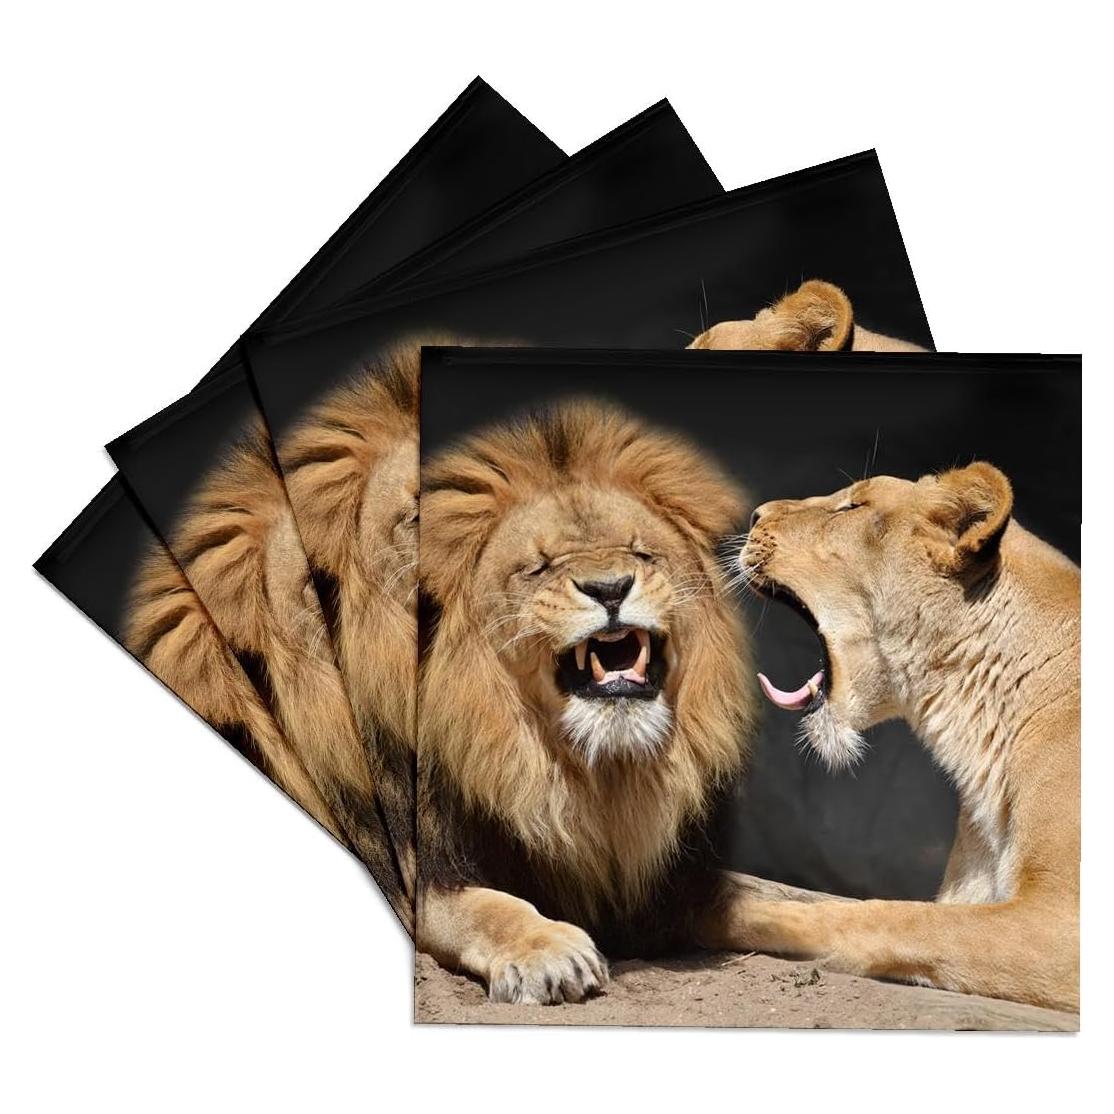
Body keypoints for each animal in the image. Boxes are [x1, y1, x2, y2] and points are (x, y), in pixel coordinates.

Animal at [417, 399, 767, 1003]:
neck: (603, 774)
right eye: (538, 566)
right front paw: (552, 952)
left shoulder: (680, 888)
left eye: (642, 553)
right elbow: (485, 906)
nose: (609, 589)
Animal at [712, 463, 1079, 1011]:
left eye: (853, 507)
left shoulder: (1062, 921)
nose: (755, 514)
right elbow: (825, 896)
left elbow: (892, 916)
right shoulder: (971, 892)